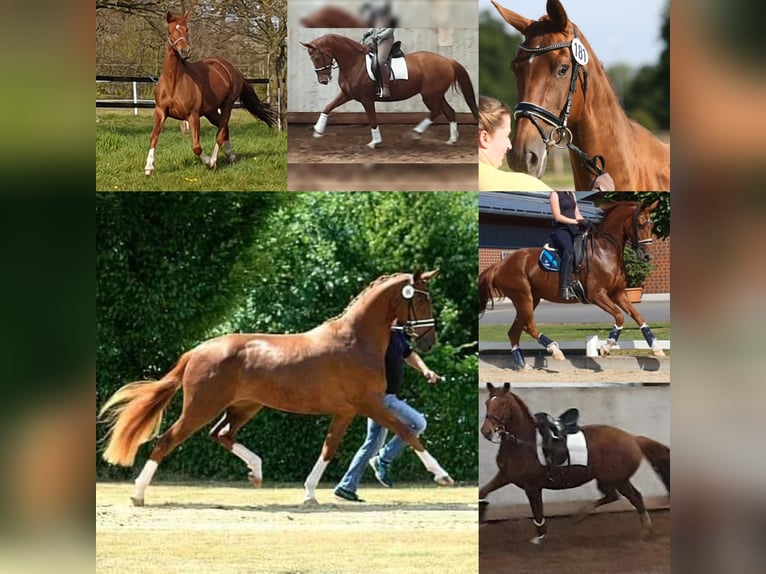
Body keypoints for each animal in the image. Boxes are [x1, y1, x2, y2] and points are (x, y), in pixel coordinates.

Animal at [98, 271, 455, 506]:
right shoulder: (369, 403)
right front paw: (442, 475)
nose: (428, 341)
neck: (354, 340)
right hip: (202, 407)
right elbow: (407, 432)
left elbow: (329, 448)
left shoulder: (346, 411)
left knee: (222, 434)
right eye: (420, 299)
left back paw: (256, 473)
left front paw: (309, 494)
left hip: (245, 406)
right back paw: (138, 494)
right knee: (167, 440)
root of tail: (197, 351)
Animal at [143, 12, 278, 176]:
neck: (174, 81)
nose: (185, 51)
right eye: (170, 31)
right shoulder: (161, 111)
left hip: (227, 105)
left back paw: (214, 161)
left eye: (186, 29)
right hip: (211, 111)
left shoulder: (193, 115)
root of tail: (232, 69)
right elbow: (154, 137)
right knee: (225, 129)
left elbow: (196, 146)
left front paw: (207, 162)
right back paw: (231, 156)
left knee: (221, 132)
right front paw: (149, 168)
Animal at [300, 33, 479, 149]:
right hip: (437, 94)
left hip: (430, 95)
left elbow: (372, 119)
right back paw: (452, 140)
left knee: (436, 111)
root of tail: (448, 61)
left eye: (316, 58)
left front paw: (375, 142)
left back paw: (417, 133)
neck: (354, 62)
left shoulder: (366, 99)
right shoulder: (347, 94)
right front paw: (318, 131)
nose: (323, 81)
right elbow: (328, 107)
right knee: (449, 111)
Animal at [478, 200, 664, 369]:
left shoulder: (617, 293)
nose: (647, 256)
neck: (605, 251)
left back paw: (522, 365)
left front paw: (656, 348)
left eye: (652, 224)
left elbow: (638, 317)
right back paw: (555, 350)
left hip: (530, 299)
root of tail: (500, 265)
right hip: (523, 297)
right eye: (640, 223)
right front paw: (606, 346)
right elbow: (619, 316)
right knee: (529, 326)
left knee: (515, 331)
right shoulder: (597, 295)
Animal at [480, 383, 670, 543]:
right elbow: (483, 492)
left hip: (615, 479)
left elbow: (537, 511)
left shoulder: (532, 486)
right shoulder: (505, 476)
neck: (523, 444)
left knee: (630, 497)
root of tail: (633, 439)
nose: (485, 431)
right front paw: (481, 517)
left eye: (502, 405)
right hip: (611, 479)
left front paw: (540, 536)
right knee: (617, 496)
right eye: (487, 403)